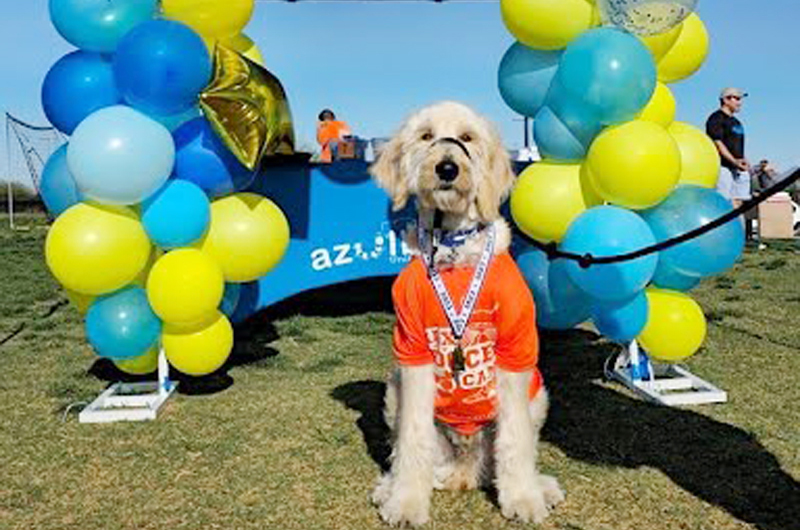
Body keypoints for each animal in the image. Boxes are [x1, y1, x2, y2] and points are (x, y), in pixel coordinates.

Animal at [368, 102, 564, 524]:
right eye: (426, 135)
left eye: (468, 137)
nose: (447, 168)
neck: (454, 252)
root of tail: (466, 467)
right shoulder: (412, 354)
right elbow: (412, 438)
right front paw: (406, 501)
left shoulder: (514, 354)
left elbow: (515, 441)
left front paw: (523, 498)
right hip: (393, 390)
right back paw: (390, 487)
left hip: (538, 394)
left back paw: (541, 486)